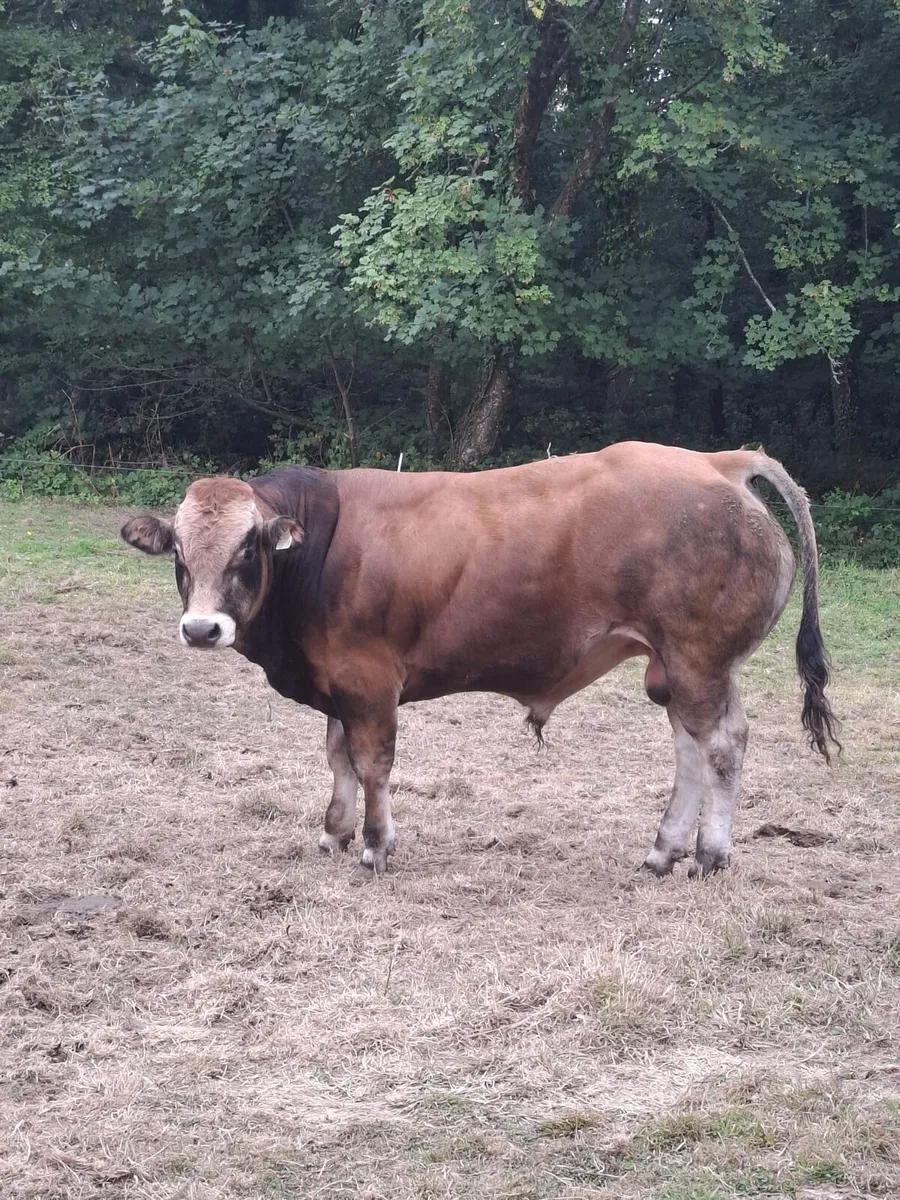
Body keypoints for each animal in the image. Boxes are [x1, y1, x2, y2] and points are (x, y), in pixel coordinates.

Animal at [120, 441, 839, 880]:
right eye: (179, 552)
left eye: (247, 549)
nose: (202, 628)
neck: (318, 550)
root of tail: (719, 462)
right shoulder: (338, 685)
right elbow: (338, 759)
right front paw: (334, 832)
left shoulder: (369, 680)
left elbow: (372, 764)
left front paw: (375, 845)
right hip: (678, 667)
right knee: (691, 749)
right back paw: (664, 850)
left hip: (697, 659)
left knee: (721, 746)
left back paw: (710, 854)